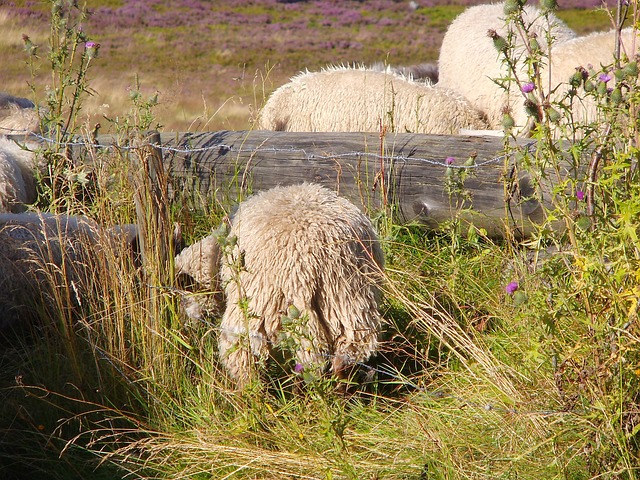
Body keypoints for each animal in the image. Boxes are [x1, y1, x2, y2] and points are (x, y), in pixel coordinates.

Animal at [215, 182, 384, 388]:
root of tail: (311, 255)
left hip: (256, 306)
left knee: (243, 354)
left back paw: (252, 391)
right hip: (349, 298)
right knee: (348, 352)